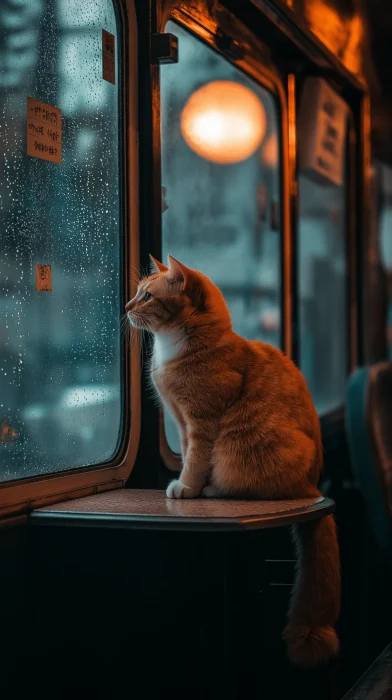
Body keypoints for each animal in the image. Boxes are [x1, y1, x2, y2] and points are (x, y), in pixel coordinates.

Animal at [125, 253, 340, 668]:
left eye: (147, 297)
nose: (126, 307)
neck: (173, 351)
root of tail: (312, 484)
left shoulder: (202, 422)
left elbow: (196, 458)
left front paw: (187, 487)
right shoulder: (179, 422)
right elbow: (186, 451)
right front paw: (183, 481)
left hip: (239, 451)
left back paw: (212, 490)